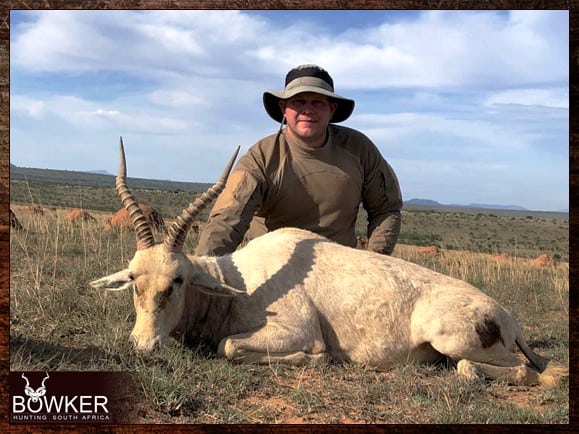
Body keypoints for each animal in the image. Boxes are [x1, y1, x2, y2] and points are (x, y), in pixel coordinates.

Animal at [88, 138, 568, 386]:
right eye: (134, 280)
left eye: (178, 281)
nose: (145, 345)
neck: (238, 283)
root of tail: (507, 318)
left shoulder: (293, 330)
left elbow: (230, 346)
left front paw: (318, 359)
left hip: (455, 340)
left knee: (508, 370)